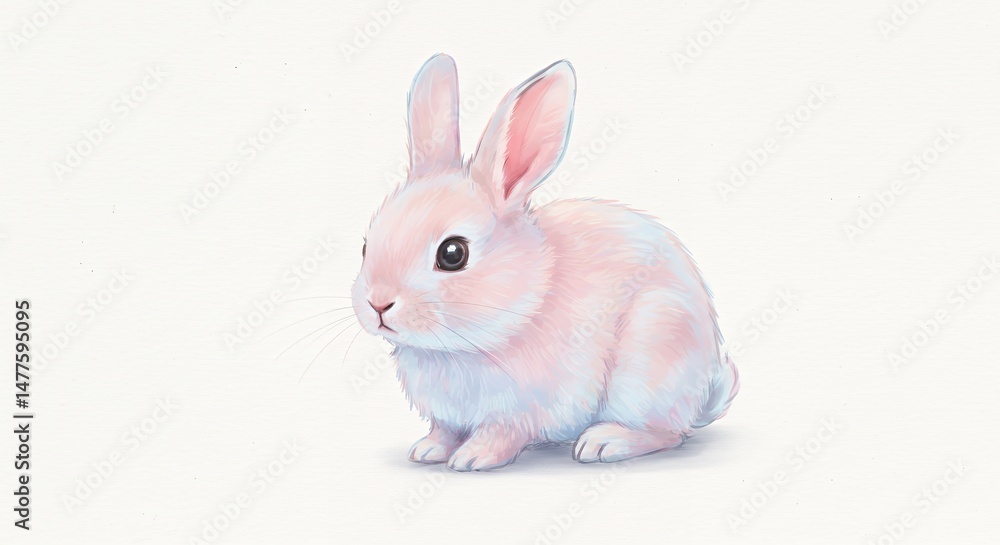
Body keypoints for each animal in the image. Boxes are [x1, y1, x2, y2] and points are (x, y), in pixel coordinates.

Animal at [351, 54, 739, 471]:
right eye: (365, 246)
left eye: (453, 254)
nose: (378, 303)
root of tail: (704, 393)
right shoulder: (447, 416)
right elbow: (444, 430)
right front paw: (428, 450)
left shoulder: (518, 411)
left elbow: (500, 434)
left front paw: (471, 458)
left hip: (650, 360)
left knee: (668, 433)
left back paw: (604, 442)